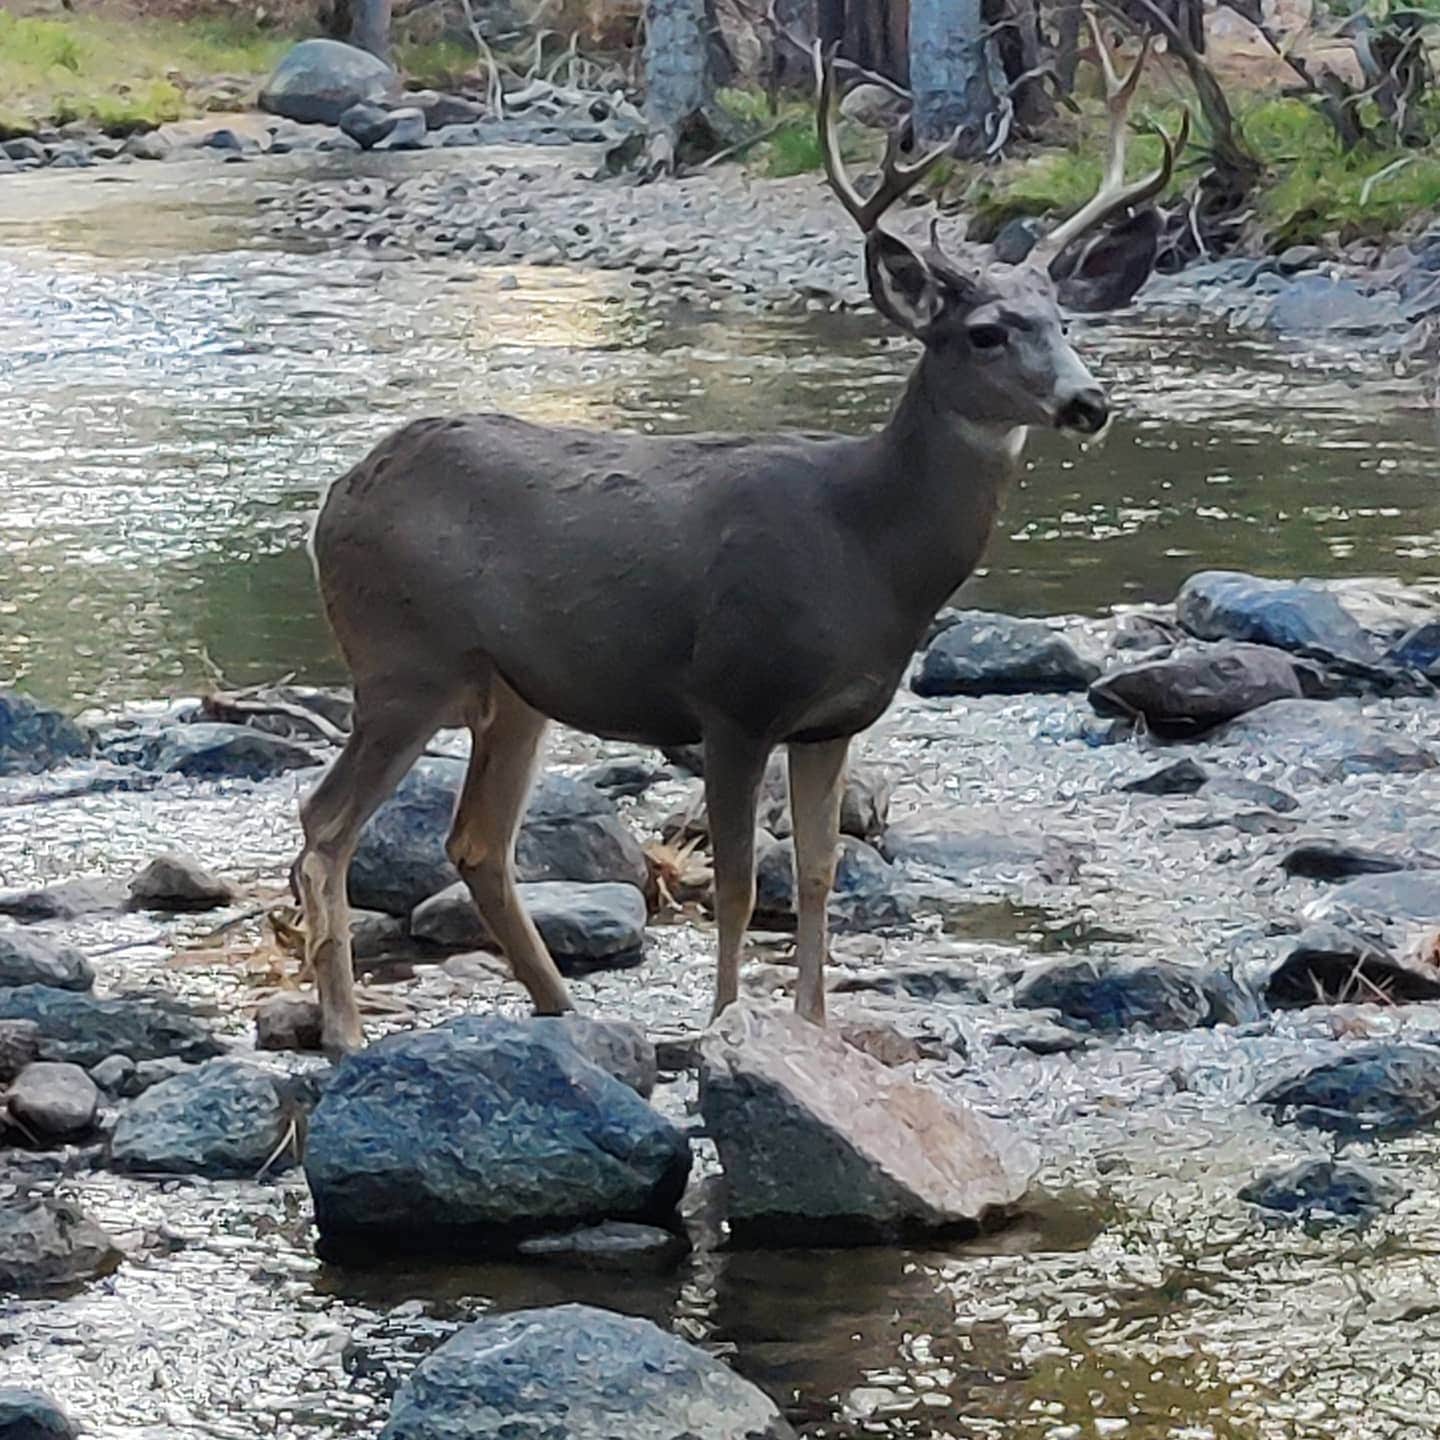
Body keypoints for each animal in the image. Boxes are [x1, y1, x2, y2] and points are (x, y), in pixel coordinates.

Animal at [292, 14, 1180, 1059]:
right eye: (987, 332)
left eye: (1064, 320)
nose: (1089, 402)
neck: (867, 548)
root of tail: (335, 497)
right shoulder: (733, 699)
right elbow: (741, 885)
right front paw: (726, 1025)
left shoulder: (833, 720)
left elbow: (819, 877)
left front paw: (816, 1030)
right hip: (402, 660)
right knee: (325, 826)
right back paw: (346, 1031)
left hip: (511, 688)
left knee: (475, 841)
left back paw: (566, 1014)